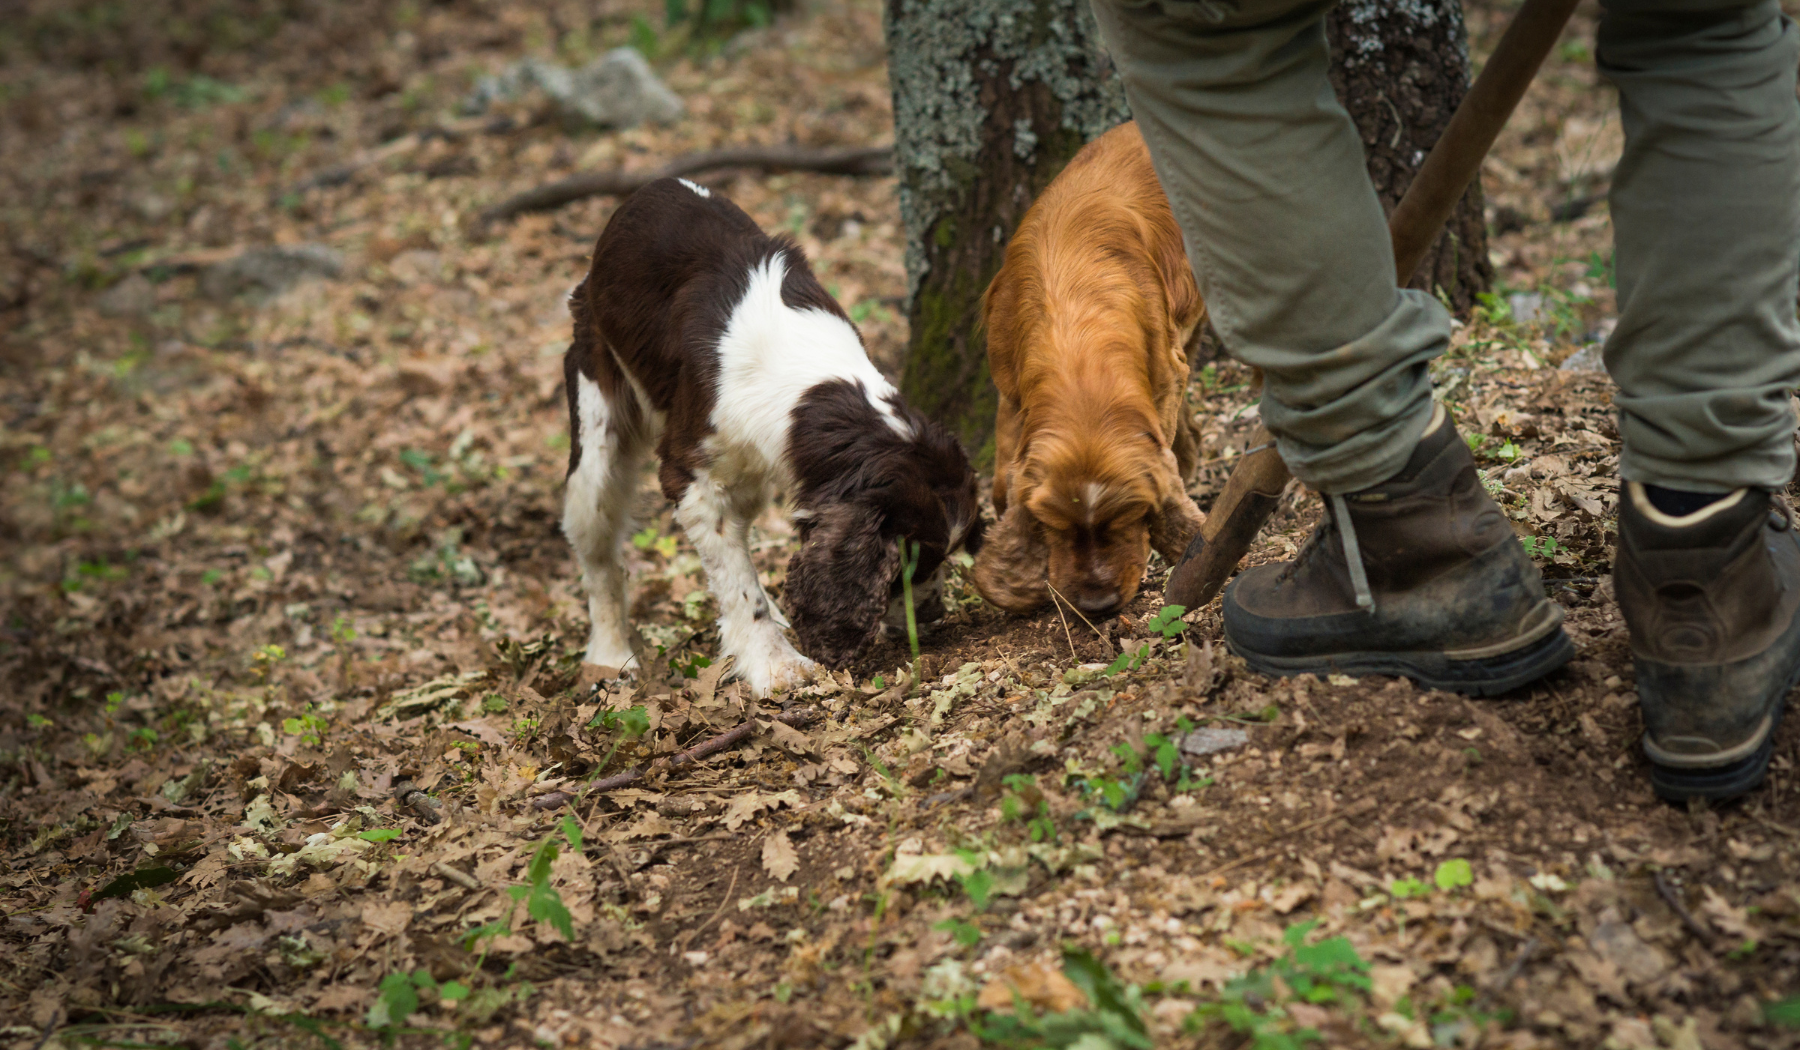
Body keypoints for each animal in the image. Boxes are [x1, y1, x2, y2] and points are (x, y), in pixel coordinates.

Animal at [561, 176, 986, 695]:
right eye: (911, 563)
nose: (931, 617)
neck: (808, 383)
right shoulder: (692, 477)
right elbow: (741, 587)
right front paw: (775, 664)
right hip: (596, 436)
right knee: (600, 554)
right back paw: (608, 657)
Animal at [972, 121, 1209, 623]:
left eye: (1129, 516)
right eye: (1055, 525)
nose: (1098, 605)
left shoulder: (1164, 374)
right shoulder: (1008, 388)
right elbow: (1003, 481)